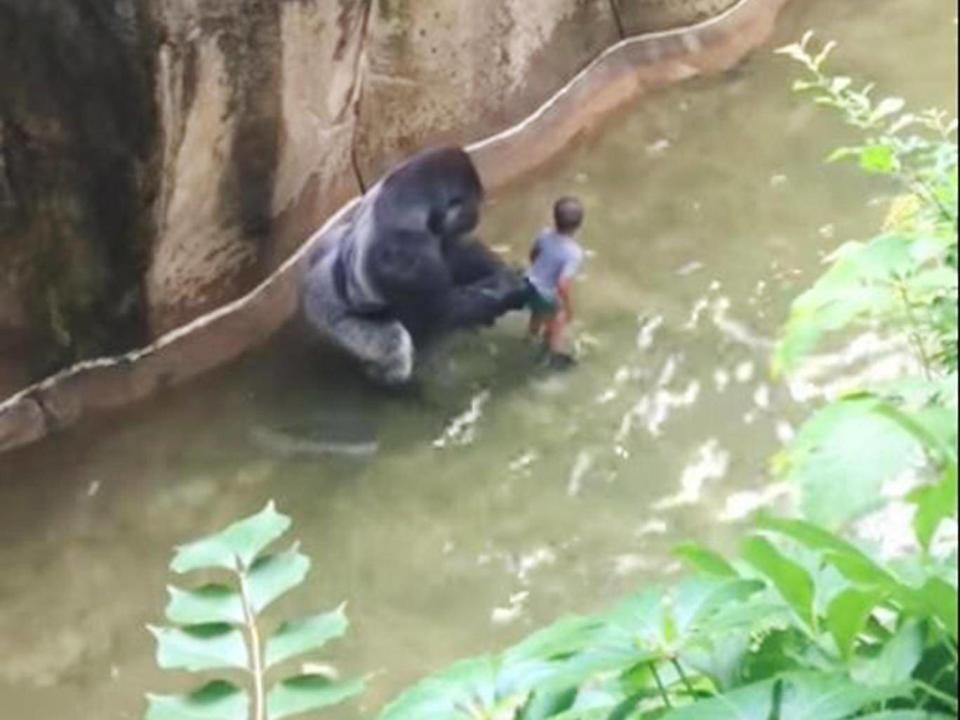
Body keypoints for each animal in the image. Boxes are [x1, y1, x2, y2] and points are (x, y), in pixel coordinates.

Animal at [300, 143, 524, 386]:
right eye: (473, 203)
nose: (476, 216)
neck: (405, 204)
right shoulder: (404, 257)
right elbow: (445, 310)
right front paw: (511, 289)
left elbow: (459, 252)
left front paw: (505, 274)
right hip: (331, 322)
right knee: (395, 343)